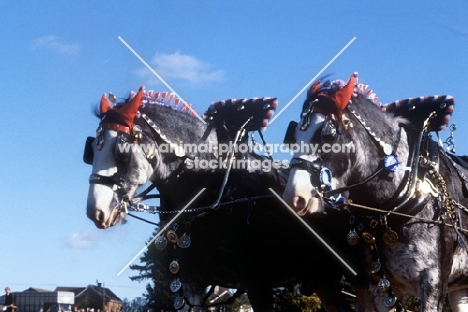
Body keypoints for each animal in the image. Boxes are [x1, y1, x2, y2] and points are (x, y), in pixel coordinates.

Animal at [85, 86, 380, 310]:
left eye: (121, 152)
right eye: (91, 151)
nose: (95, 211)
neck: (215, 195)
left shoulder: (257, 281)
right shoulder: (191, 284)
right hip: (323, 279)